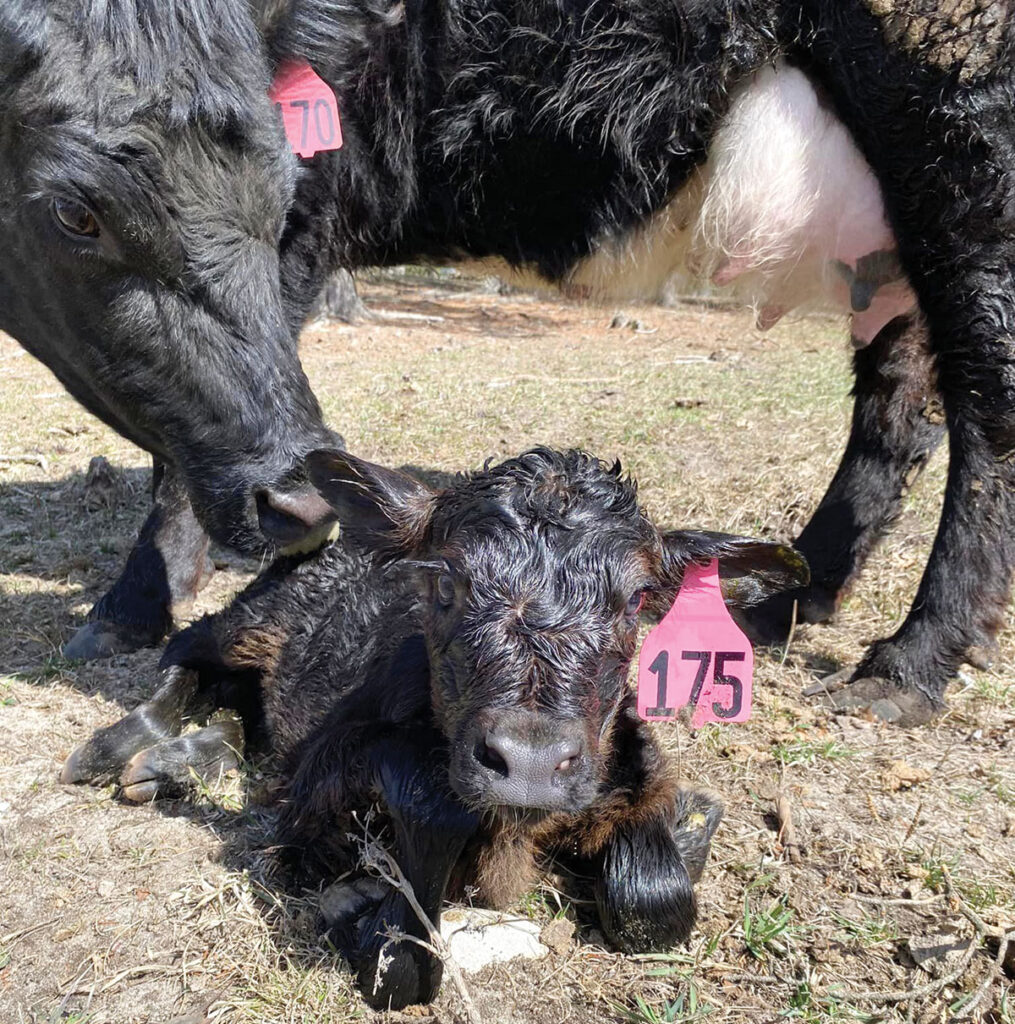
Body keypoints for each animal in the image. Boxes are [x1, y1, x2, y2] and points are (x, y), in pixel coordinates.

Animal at [7, 2, 1015, 729]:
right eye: (76, 213)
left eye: (278, 180)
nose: (296, 510)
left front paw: (131, 604)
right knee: (898, 404)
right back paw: (786, 601)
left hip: (962, 142)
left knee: (987, 400)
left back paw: (904, 666)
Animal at [61, 446, 811, 1007]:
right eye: (446, 583)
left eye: (635, 601)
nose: (530, 763)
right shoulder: (322, 769)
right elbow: (416, 824)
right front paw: (374, 922)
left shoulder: (633, 767)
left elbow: (656, 906)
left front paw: (688, 831)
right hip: (250, 620)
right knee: (184, 658)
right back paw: (120, 749)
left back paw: (182, 760)